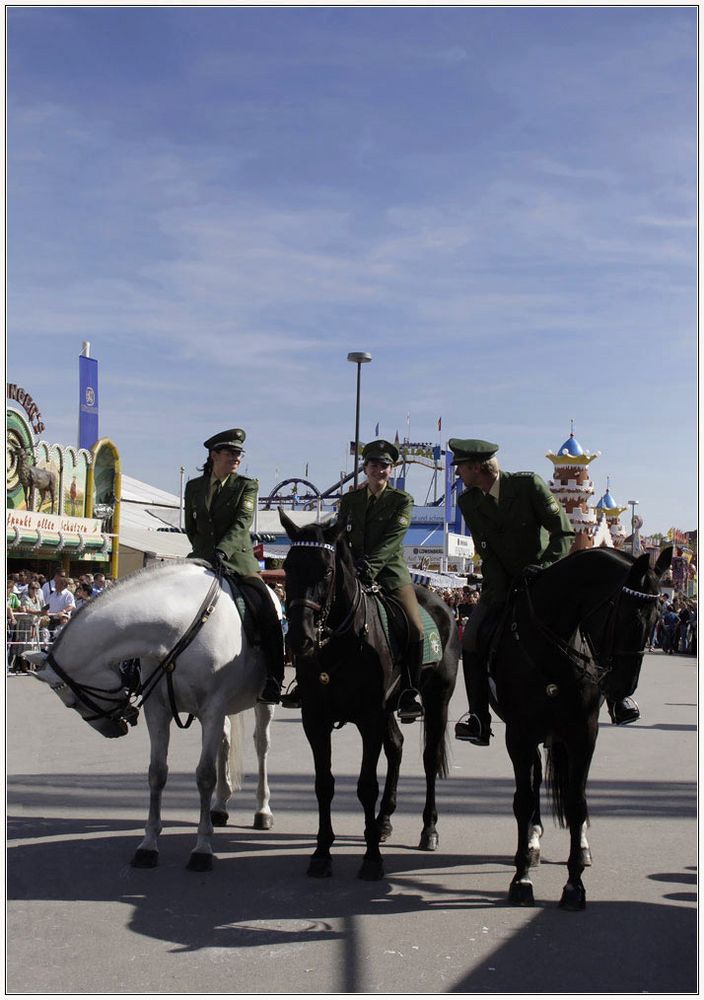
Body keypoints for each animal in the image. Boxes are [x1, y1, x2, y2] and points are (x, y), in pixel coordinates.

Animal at [27, 560, 280, 872]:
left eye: (71, 703)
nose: (112, 730)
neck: (178, 626)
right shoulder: (159, 711)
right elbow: (157, 773)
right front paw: (148, 844)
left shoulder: (212, 710)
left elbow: (204, 775)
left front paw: (202, 848)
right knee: (225, 742)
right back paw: (220, 806)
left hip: (260, 704)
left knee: (261, 747)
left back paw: (262, 810)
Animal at [278, 512, 460, 880]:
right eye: (288, 567)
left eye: (326, 571)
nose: (300, 639)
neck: (339, 642)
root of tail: (443, 606)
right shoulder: (315, 720)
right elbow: (324, 784)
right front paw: (322, 852)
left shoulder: (369, 719)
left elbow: (366, 786)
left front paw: (372, 859)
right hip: (390, 709)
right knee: (397, 747)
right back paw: (383, 821)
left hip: (437, 701)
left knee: (428, 759)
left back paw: (428, 829)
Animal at [492, 544, 672, 912]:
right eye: (630, 616)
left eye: (657, 619)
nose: (622, 686)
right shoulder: (518, 734)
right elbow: (524, 799)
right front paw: (521, 878)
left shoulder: (584, 733)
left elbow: (577, 802)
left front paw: (574, 884)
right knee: (534, 785)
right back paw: (532, 841)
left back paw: (581, 847)